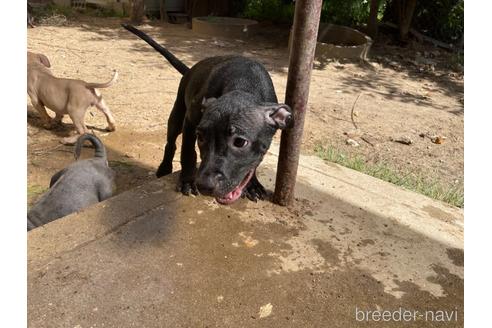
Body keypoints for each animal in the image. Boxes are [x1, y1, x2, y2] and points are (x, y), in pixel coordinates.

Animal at [123, 24, 292, 205]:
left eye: (240, 142)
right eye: (201, 137)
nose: (204, 186)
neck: (244, 85)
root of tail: (190, 70)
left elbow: (252, 165)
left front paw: (253, 185)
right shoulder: (190, 122)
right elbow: (187, 151)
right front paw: (187, 181)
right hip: (177, 116)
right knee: (171, 143)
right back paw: (164, 168)